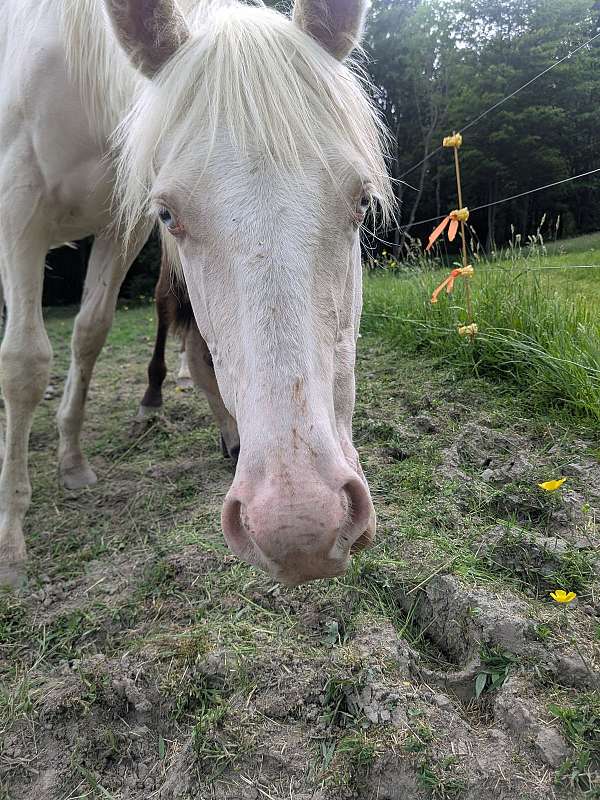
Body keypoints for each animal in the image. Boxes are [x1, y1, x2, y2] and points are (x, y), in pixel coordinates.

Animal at [0, 0, 393, 587]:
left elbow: (89, 335)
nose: (300, 525)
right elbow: (25, 363)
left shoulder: (119, 229)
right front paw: (10, 541)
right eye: (168, 214)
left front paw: (71, 459)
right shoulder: (18, 209)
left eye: (363, 201)